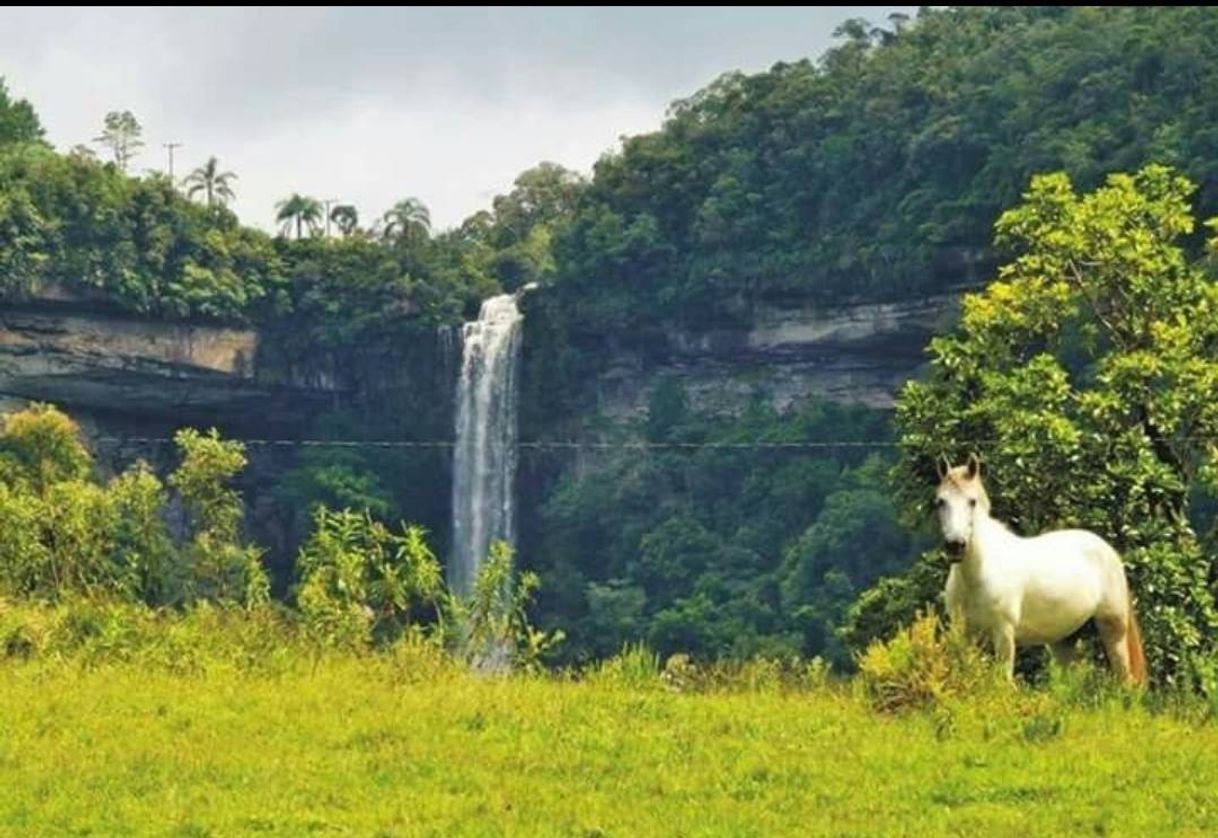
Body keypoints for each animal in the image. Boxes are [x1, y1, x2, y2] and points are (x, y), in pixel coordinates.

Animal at [935, 455, 1144, 682]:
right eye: (940, 501)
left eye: (972, 501)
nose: (955, 545)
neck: (978, 575)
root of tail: (1110, 552)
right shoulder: (963, 634)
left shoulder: (1004, 634)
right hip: (1064, 640)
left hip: (1113, 629)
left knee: (1125, 679)